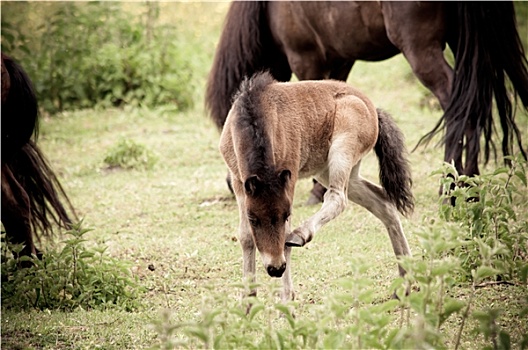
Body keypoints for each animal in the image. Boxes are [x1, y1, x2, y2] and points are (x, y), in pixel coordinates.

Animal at [205, 1, 528, 202]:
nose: (234, 186)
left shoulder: (306, 59)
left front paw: (316, 189)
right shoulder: (340, 60)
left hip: (422, 49)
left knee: (457, 103)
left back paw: (453, 185)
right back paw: (470, 183)